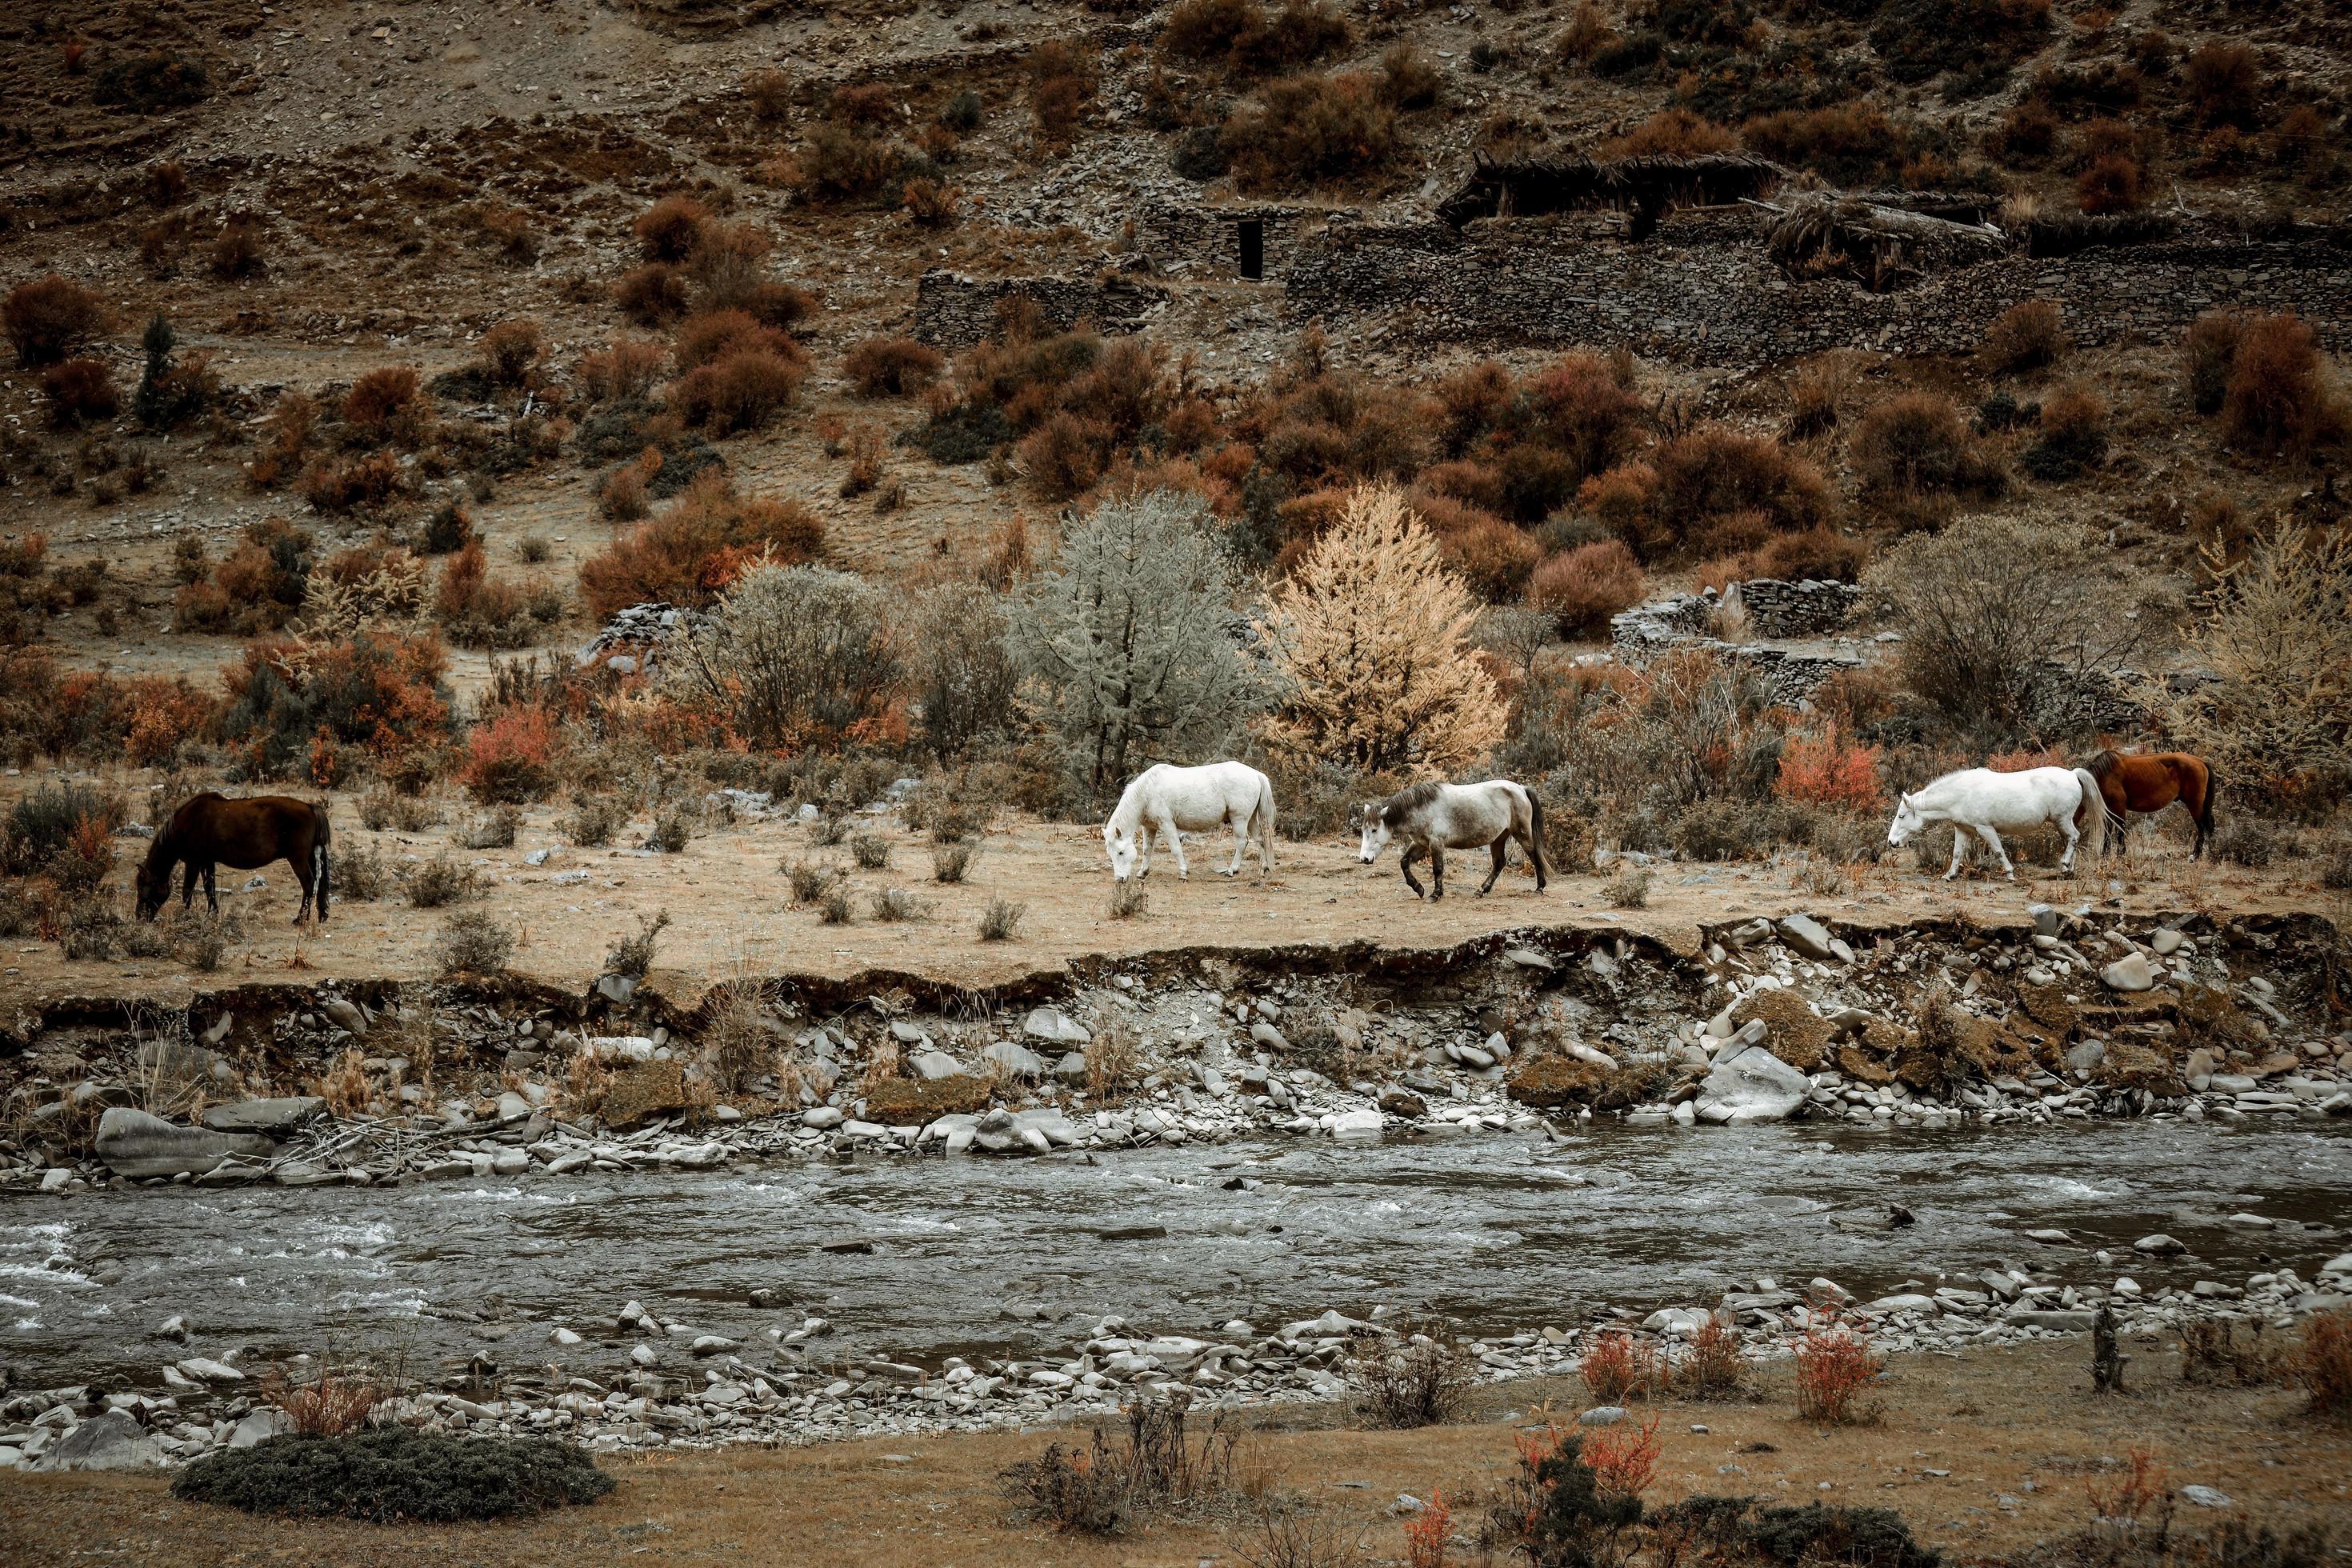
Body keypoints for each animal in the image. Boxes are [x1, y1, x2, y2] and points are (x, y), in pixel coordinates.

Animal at [137, 799, 331, 921]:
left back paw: (300, 919)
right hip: (309, 857)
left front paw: (184, 916)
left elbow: (188, 890)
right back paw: (320, 915)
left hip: (298, 859)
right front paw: (212, 914)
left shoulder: (193, 862)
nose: (140, 918)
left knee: (308, 884)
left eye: (144, 890)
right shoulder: (207, 862)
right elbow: (209, 888)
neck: (188, 823)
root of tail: (310, 807)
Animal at [1105, 766, 1279, 888]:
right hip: (1250, 820)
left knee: (1243, 842)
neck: (1148, 792)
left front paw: (1183, 873)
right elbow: (1147, 850)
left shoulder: (1167, 825)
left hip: (1239, 819)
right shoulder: (1149, 828)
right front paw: (1143, 872)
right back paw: (1263, 868)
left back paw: (1232, 870)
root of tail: (1256, 774)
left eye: (1121, 852)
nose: (1119, 879)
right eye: (1111, 854)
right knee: (1260, 840)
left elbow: (1176, 849)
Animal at [1364, 780, 1542, 902]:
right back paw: (1481, 890)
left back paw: (1540, 888)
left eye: (1374, 830)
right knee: (1499, 863)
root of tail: (1521, 789)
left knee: (1534, 856)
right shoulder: (1421, 844)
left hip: (1521, 834)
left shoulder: (1436, 844)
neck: (1423, 808)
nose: (1364, 859)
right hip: (1499, 838)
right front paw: (1418, 888)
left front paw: (1435, 895)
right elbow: (1404, 862)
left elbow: (1437, 869)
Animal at [1890, 770, 2117, 883]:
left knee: (2074, 838)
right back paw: (2069, 870)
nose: (1891, 842)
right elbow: (1957, 853)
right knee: (2072, 839)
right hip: (2063, 822)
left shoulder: (1985, 828)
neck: (1962, 792)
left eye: (1902, 816)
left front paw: (2009, 874)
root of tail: (2072, 774)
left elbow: (1998, 851)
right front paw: (1949, 875)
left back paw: (2064, 864)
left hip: (2062, 819)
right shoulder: (1963, 829)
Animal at [2088, 747, 2210, 860]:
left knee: (2202, 828)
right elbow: (2107, 831)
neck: (2106, 775)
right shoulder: (2108, 808)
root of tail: (2201, 761)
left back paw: (2196, 856)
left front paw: (2121, 855)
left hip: (2195, 805)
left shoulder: (2119, 807)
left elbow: (2120, 830)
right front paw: (2105, 855)